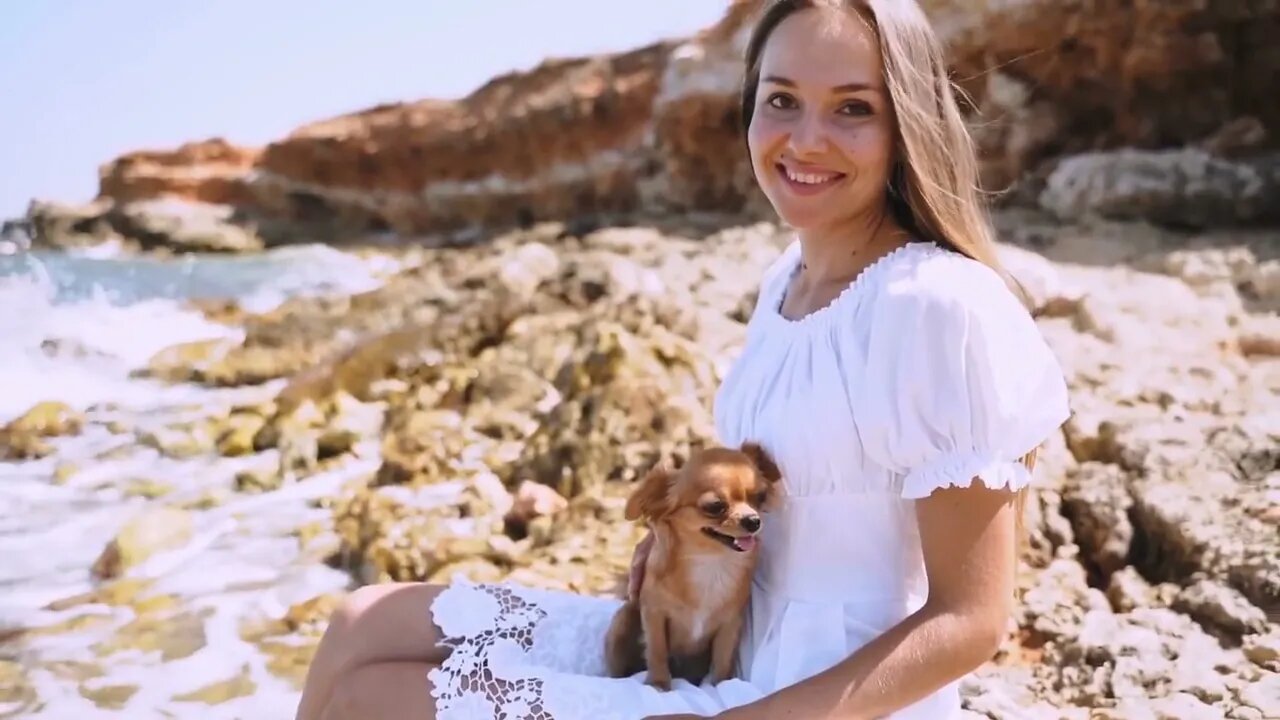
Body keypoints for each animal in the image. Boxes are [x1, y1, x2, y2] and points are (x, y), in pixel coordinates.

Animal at [606, 440, 778, 686]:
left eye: (761, 496)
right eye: (715, 506)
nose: (753, 520)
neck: (711, 563)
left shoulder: (730, 625)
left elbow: (722, 661)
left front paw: (718, 686)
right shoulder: (654, 614)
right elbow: (657, 651)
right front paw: (659, 684)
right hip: (622, 621)